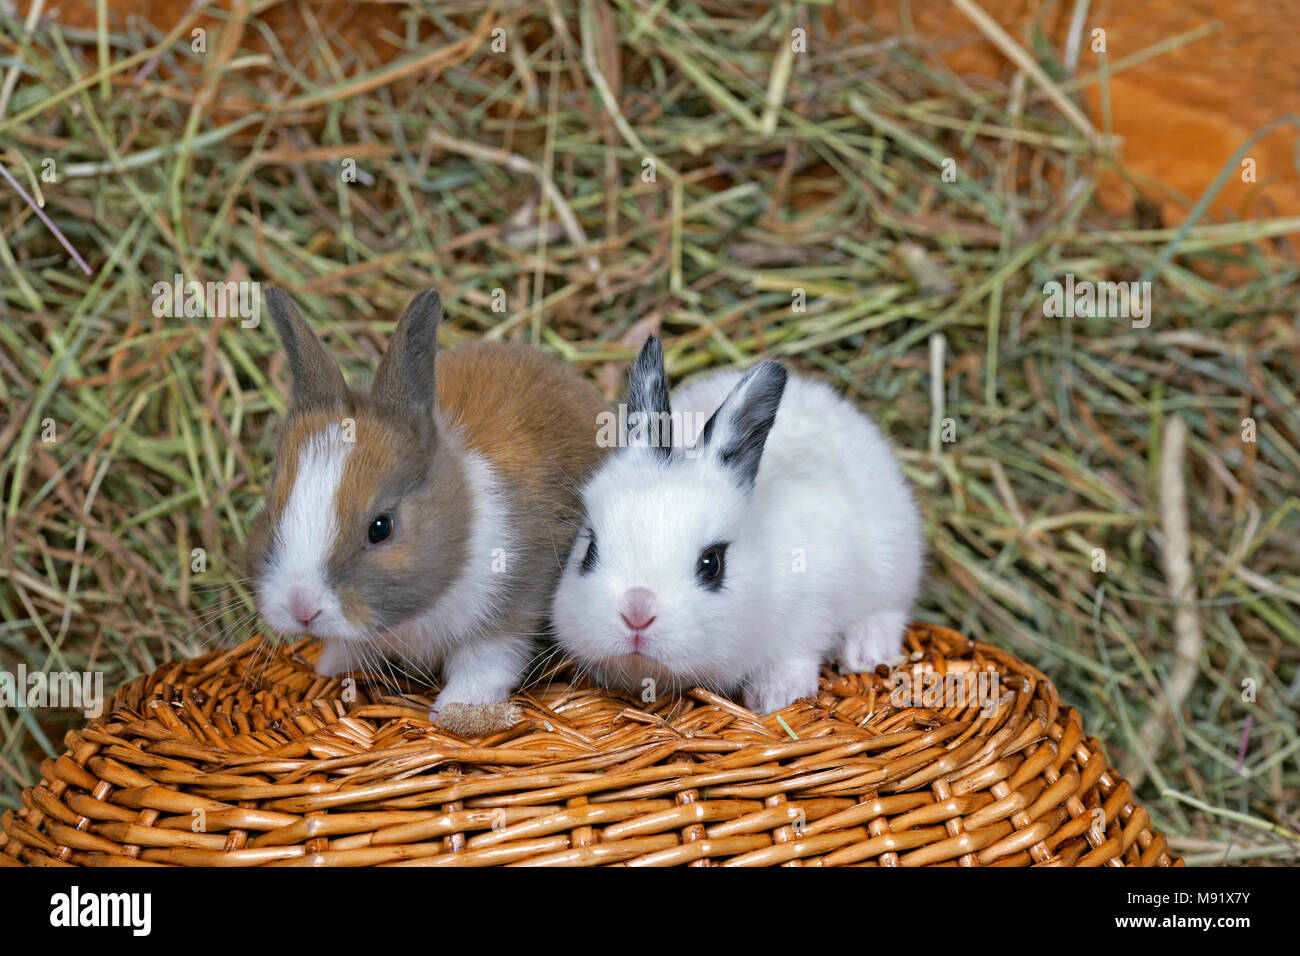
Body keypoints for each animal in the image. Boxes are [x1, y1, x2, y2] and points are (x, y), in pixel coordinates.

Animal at [248, 287, 608, 738]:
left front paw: (458, 712)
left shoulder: (512, 607)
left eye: (381, 528)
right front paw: (328, 667)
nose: (301, 608)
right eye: (272, 510)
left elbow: (484, 663)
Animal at [551, 340, 925, 712]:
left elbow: (796, 653)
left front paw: (776, 699)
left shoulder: (814, 603)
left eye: (712, 563)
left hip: (894, 563)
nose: (637, 612)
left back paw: (866, 653)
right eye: (590, 550)